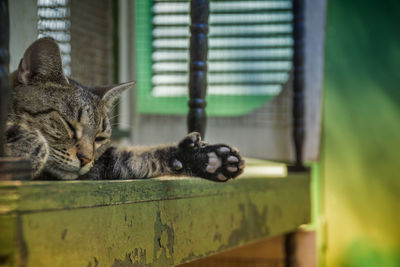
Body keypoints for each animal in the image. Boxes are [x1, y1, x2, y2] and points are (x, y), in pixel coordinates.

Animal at [4, 37, 245, 182]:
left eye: (100, 138)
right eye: (69, 125)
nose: (85, 159)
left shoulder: (103, 163)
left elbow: (136, 158)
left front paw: (206, 158)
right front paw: (26, 147)